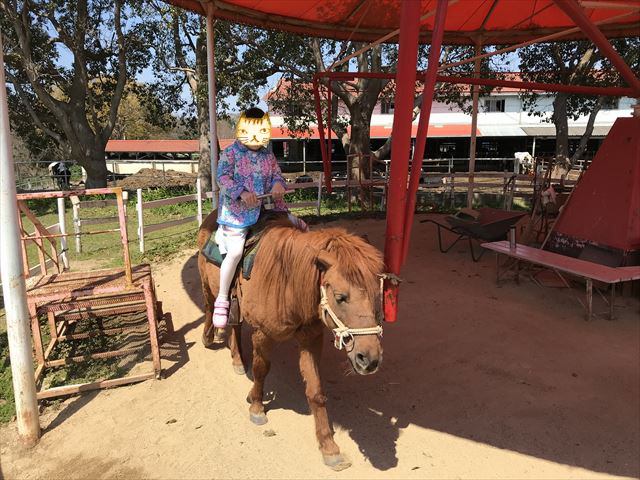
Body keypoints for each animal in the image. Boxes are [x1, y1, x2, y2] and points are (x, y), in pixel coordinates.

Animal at [198, 212, 382, 470]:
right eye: (340, 297)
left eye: (377, 293)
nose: (369, 359)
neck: (285, 282)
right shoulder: (263, 334)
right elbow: (261, 369)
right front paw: (257, 406)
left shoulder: (310, 340)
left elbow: (315, 391)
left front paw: (329, 448)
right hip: (209, 286)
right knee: (209, 308)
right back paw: (208, 336)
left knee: (235, 327)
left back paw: (237, 360)